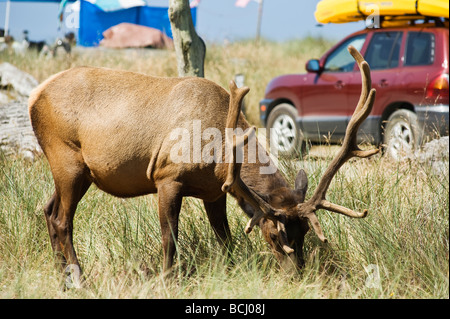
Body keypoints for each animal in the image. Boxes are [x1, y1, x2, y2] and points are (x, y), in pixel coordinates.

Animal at [29, 46, 378, 284]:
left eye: (305, 231)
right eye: (273, 235)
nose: (297, 275)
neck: (218, 156)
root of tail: (35, 94)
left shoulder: (215, 191)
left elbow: (225, 239)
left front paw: (231, 270)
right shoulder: (167, 176)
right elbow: (170, 237)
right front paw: (167, 280)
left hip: (81, 171)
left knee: (47, 209)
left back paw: (62, 276)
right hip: (65, 157)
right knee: (62, 219)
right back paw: (78, 277)